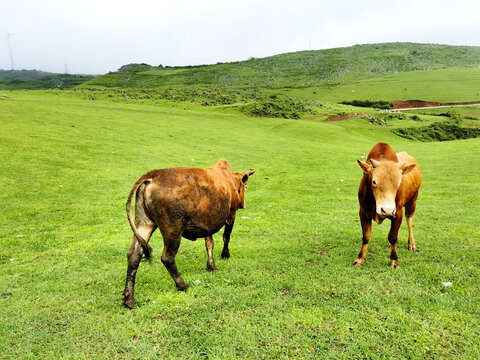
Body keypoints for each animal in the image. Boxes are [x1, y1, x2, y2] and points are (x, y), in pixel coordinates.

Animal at [123, 159, 255, 308]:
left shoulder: (207, 223)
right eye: (246, 186)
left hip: (144, 223)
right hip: (173, 229)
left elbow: (209, 244)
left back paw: (129, 299)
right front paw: (225, 255)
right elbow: (226, 237)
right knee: (167, 257)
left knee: (134, 254)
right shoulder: (231, 215)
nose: (243, 204)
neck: (229, 180)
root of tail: (152, 176)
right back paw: (183, 285)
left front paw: (211, 266)